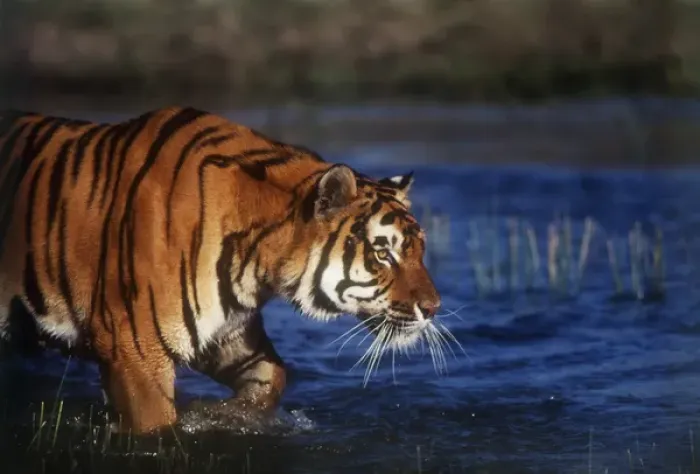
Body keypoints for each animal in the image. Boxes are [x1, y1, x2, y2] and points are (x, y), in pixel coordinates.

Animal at [0, 106, 442, 434]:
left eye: (420, 249)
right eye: (383, 252)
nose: (434, 308)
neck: (257, 264)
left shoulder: (226, 331)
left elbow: (273, 377)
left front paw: (225, 415)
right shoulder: (133, 348)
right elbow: (157, 428)